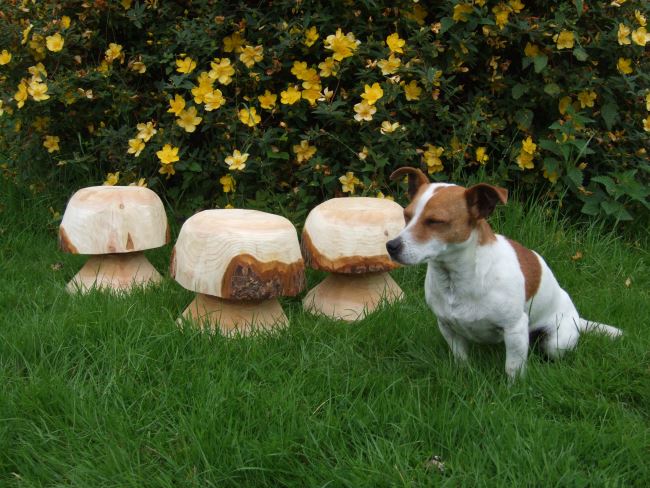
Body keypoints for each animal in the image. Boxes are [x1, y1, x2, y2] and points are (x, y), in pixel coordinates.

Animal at [382, 166, 620, 380]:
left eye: (435, 222)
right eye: (406, 215)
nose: (391, 246)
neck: (456, 280)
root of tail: (577, 318)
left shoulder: (515, 329)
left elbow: (513, 369)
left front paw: (512, 390)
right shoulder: (447, 327)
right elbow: (461, 358)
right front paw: (464, 373)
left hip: (557, 342)